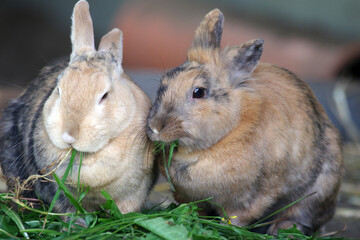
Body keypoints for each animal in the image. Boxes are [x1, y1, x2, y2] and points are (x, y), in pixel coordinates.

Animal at [0, 0, 155, 216]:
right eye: (58, 88)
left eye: (105, 95)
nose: (69, 135)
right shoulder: (54, 188)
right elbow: (66, 209)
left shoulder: (135, 191)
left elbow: (127, 210)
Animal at [146, 8, 344, 234]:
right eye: (164, 83)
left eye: (199, 92)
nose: (155, 128)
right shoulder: (189, 196)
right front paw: (189, 218)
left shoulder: (252, 197)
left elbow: (237, 217)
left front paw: (224, 228)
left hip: (318, 191)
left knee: (303, 215)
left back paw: (282, 228)